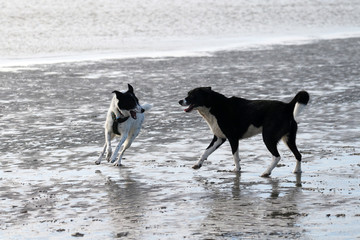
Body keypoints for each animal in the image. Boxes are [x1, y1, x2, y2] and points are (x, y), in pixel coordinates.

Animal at [179, 87, 310, 177]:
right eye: (188, 94)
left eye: (192, 95)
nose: (180, 101)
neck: (213, 106)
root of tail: (288, 106)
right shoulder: (219, 138)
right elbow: (205, 152)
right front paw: (198, 164)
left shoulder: (232, 138)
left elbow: (235, 156)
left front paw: (237, 170)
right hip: (288, 139)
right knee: (298, 155)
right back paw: (297, 171)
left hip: (268, 137)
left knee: (277, 156)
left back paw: (266, 172)